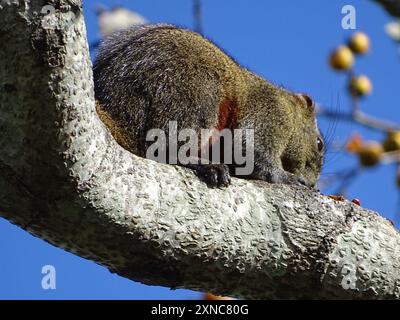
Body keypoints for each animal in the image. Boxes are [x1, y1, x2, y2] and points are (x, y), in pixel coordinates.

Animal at [94, 24, 324, 188]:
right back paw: (206, 165)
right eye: (319, 143)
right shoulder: (271, 113)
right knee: (166, 147)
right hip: (192, 95)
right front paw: (286, 177)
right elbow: (252, 150)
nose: (314, 184)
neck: (290, 109)